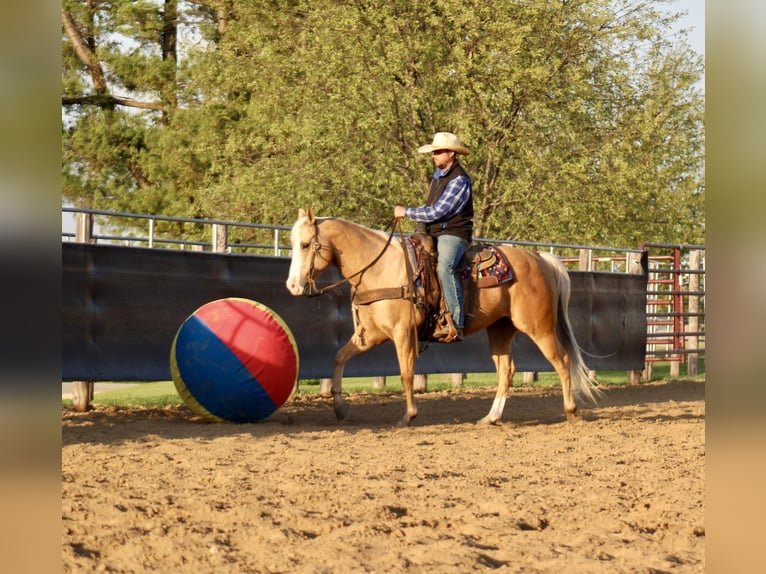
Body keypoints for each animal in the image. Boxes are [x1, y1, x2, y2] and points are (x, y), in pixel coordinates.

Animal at [285, 208, 601, 427]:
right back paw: (491, 417)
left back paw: (572, 413)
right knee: (506, 370)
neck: (379, 268)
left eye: (306, 244)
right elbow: (339, 358)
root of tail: (539, 259)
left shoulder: (402, 333)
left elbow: (407, 373)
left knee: (562, 361)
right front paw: (339, 407)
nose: (292, 286)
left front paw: (408, 416)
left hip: (539, 327)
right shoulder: (372, 335)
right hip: (500, 329)